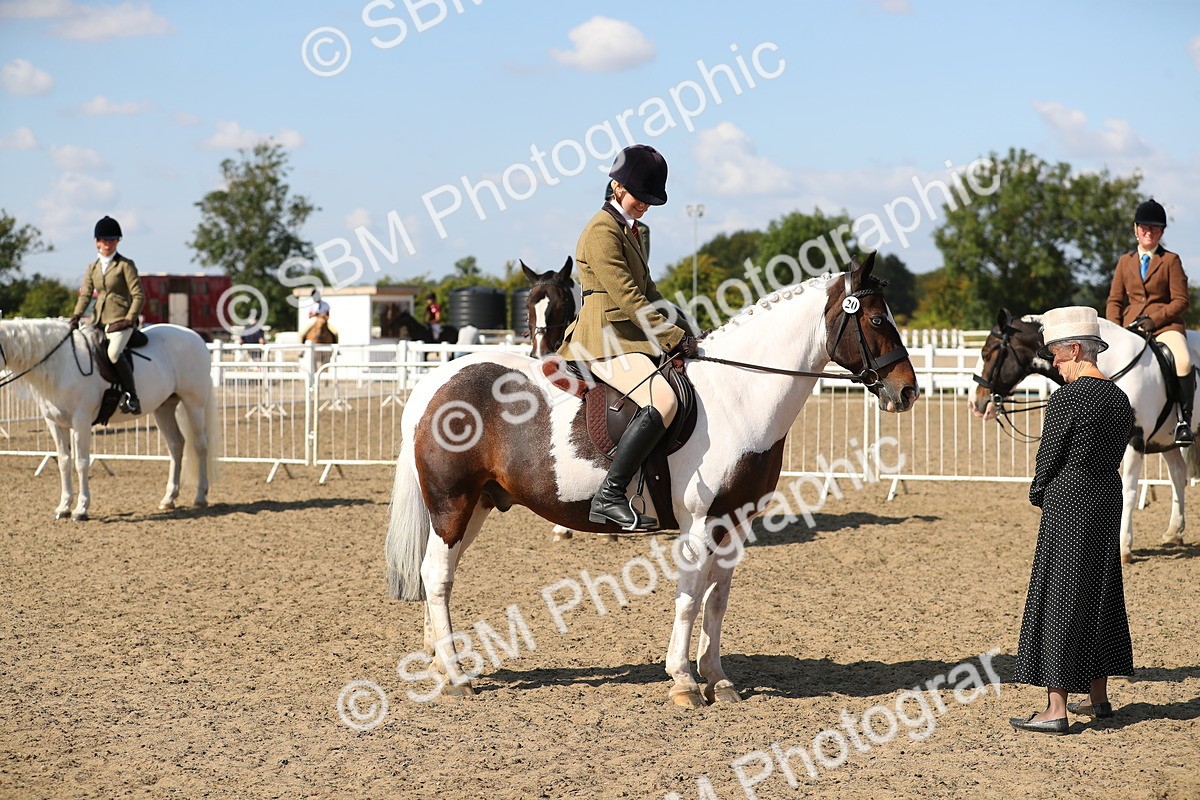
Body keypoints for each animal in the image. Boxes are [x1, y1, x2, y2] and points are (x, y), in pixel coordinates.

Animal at [0, 319, 219, 520]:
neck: (61, 364)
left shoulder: (81, 420)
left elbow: (81, 463)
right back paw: (169, 499)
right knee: (176, 445)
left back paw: (200, 496)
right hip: (163, 408)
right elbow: (64, 462)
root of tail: (195, 336)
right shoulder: (55, 422)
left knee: (200, 445)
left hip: (194, 404)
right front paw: (63, 507)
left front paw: (81, 509)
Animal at [384, 254, 920, 705]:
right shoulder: (700, 524)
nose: (907, 391)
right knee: (436, 575)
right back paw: (456, 676)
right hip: (452, 503)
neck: (739, 395)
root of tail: (435, 383)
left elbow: (717, 599)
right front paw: (683, 681)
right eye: (877, 320)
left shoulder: (736, 523)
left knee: (440, 575)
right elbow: (688, 598)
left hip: (475, 505)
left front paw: (717, 678)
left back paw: (439, 663)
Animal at [971, 308, 1199, 562]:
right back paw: (1174, 532)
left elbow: (1128, 492)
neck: (1112, 367)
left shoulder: (1136, 440)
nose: (975, 402)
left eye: (987, 354)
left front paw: (1124, 546)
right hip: (1166, 441)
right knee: (1178, 474)